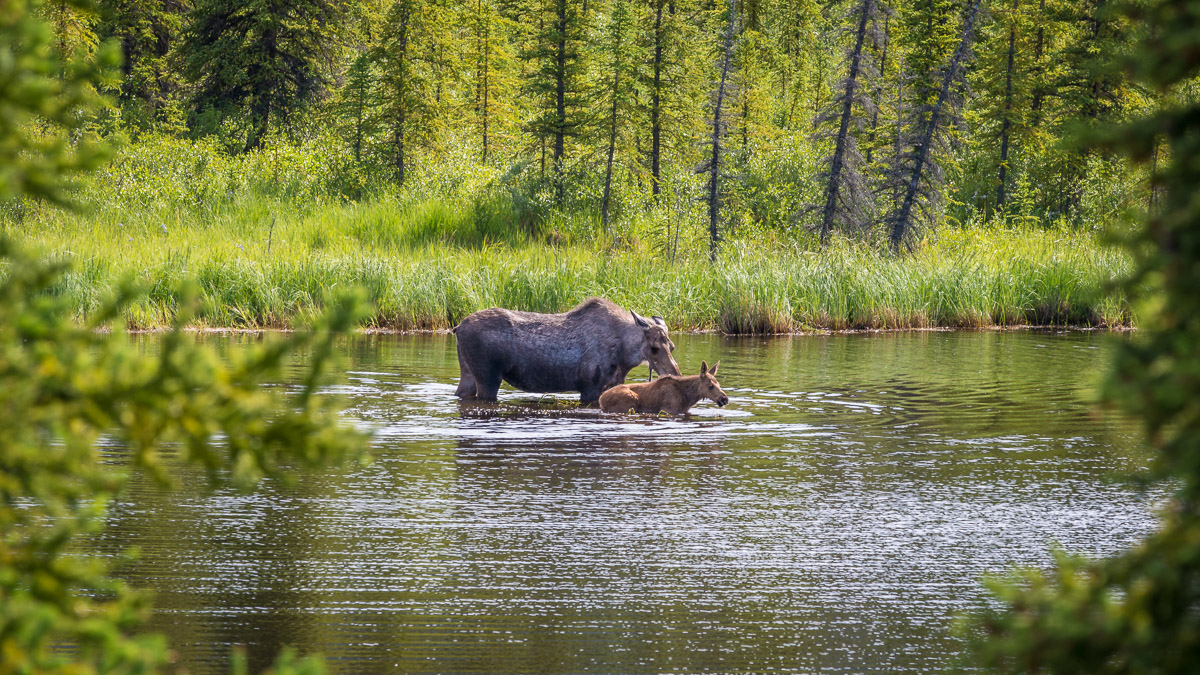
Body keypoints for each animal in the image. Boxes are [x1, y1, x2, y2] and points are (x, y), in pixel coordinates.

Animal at [451, 296, 681, 401]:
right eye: (654, 348)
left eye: (671, 346)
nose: (675, 374)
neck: (624, 357)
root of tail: (457, 327)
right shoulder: (590, 388)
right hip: (488, 378)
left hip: (468, 373)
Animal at [600, 360, 729, 413]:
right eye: (710, 385)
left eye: (719, 384)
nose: (725, 399)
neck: (688, 398)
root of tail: (601, 399)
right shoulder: (670, 410)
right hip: (632, 398)